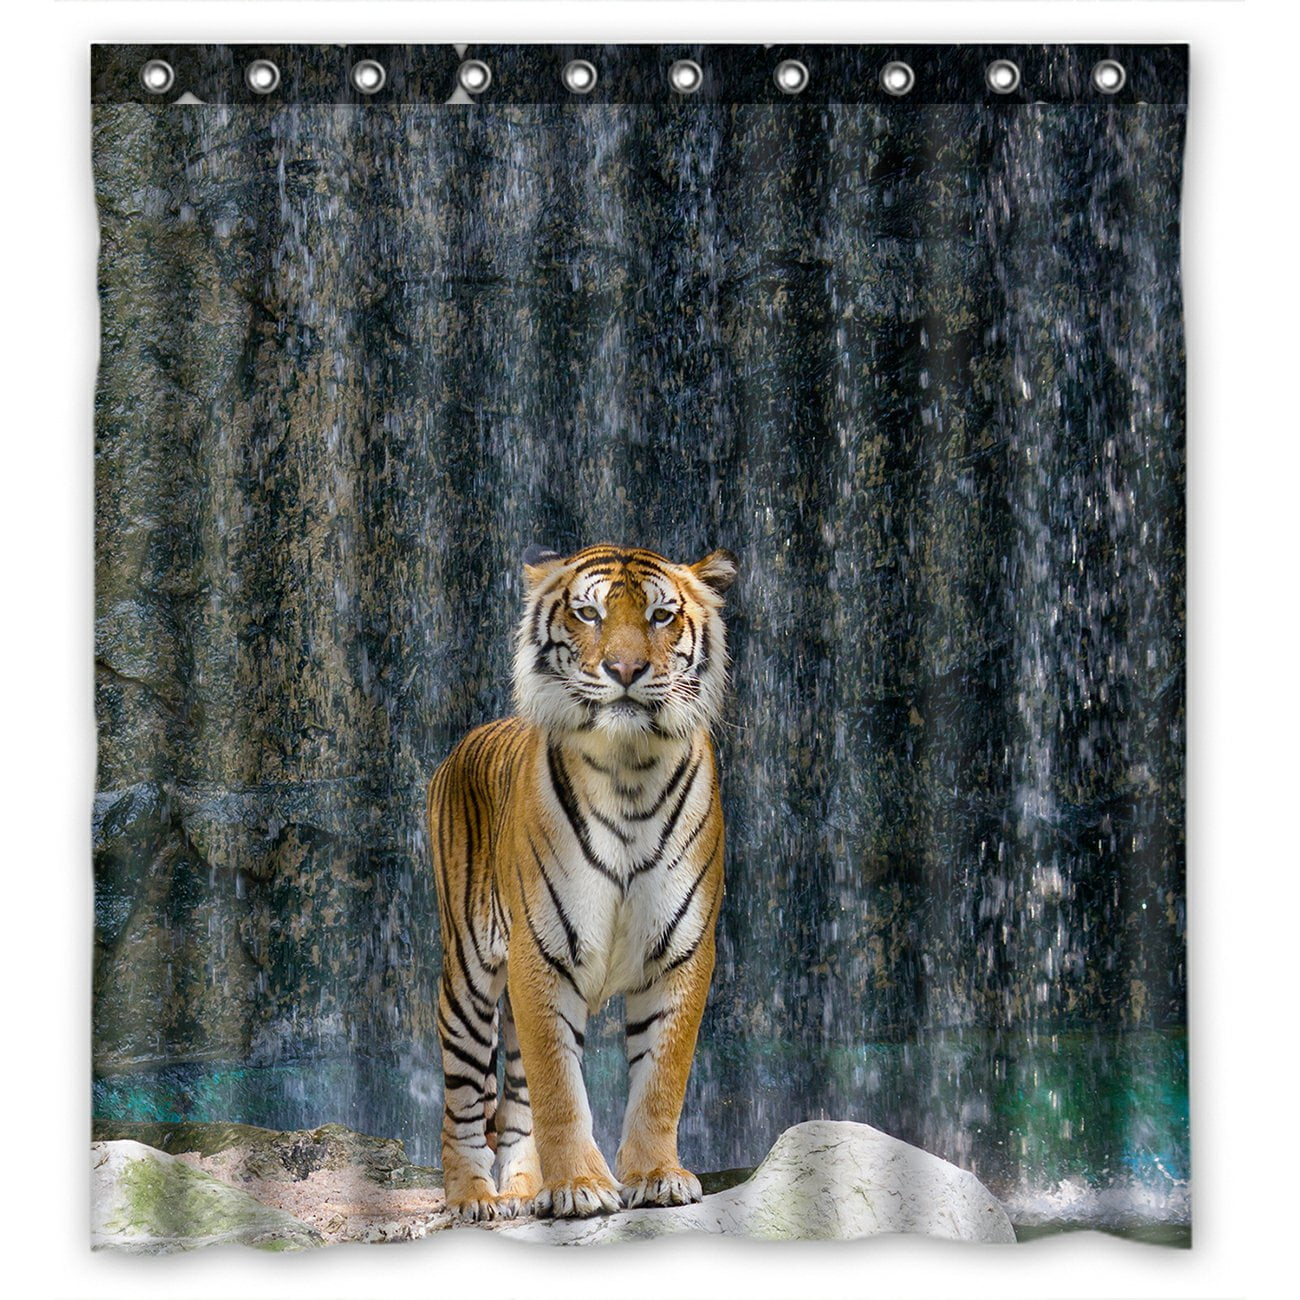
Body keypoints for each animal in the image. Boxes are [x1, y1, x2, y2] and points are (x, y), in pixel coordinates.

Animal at [427, 543, 738, 1221]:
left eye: (660, 615)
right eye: (588, 613)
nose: (624, 668)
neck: (629, 771)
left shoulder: (683, 952)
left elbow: (661, 1078)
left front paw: (657, 1175)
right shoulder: (540, 952)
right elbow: (559, 1087)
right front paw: (579, 1186)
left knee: (515, 1106)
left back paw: (522, 1191)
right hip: (468, 973)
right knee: (463, 1100)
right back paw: (473, 1198)